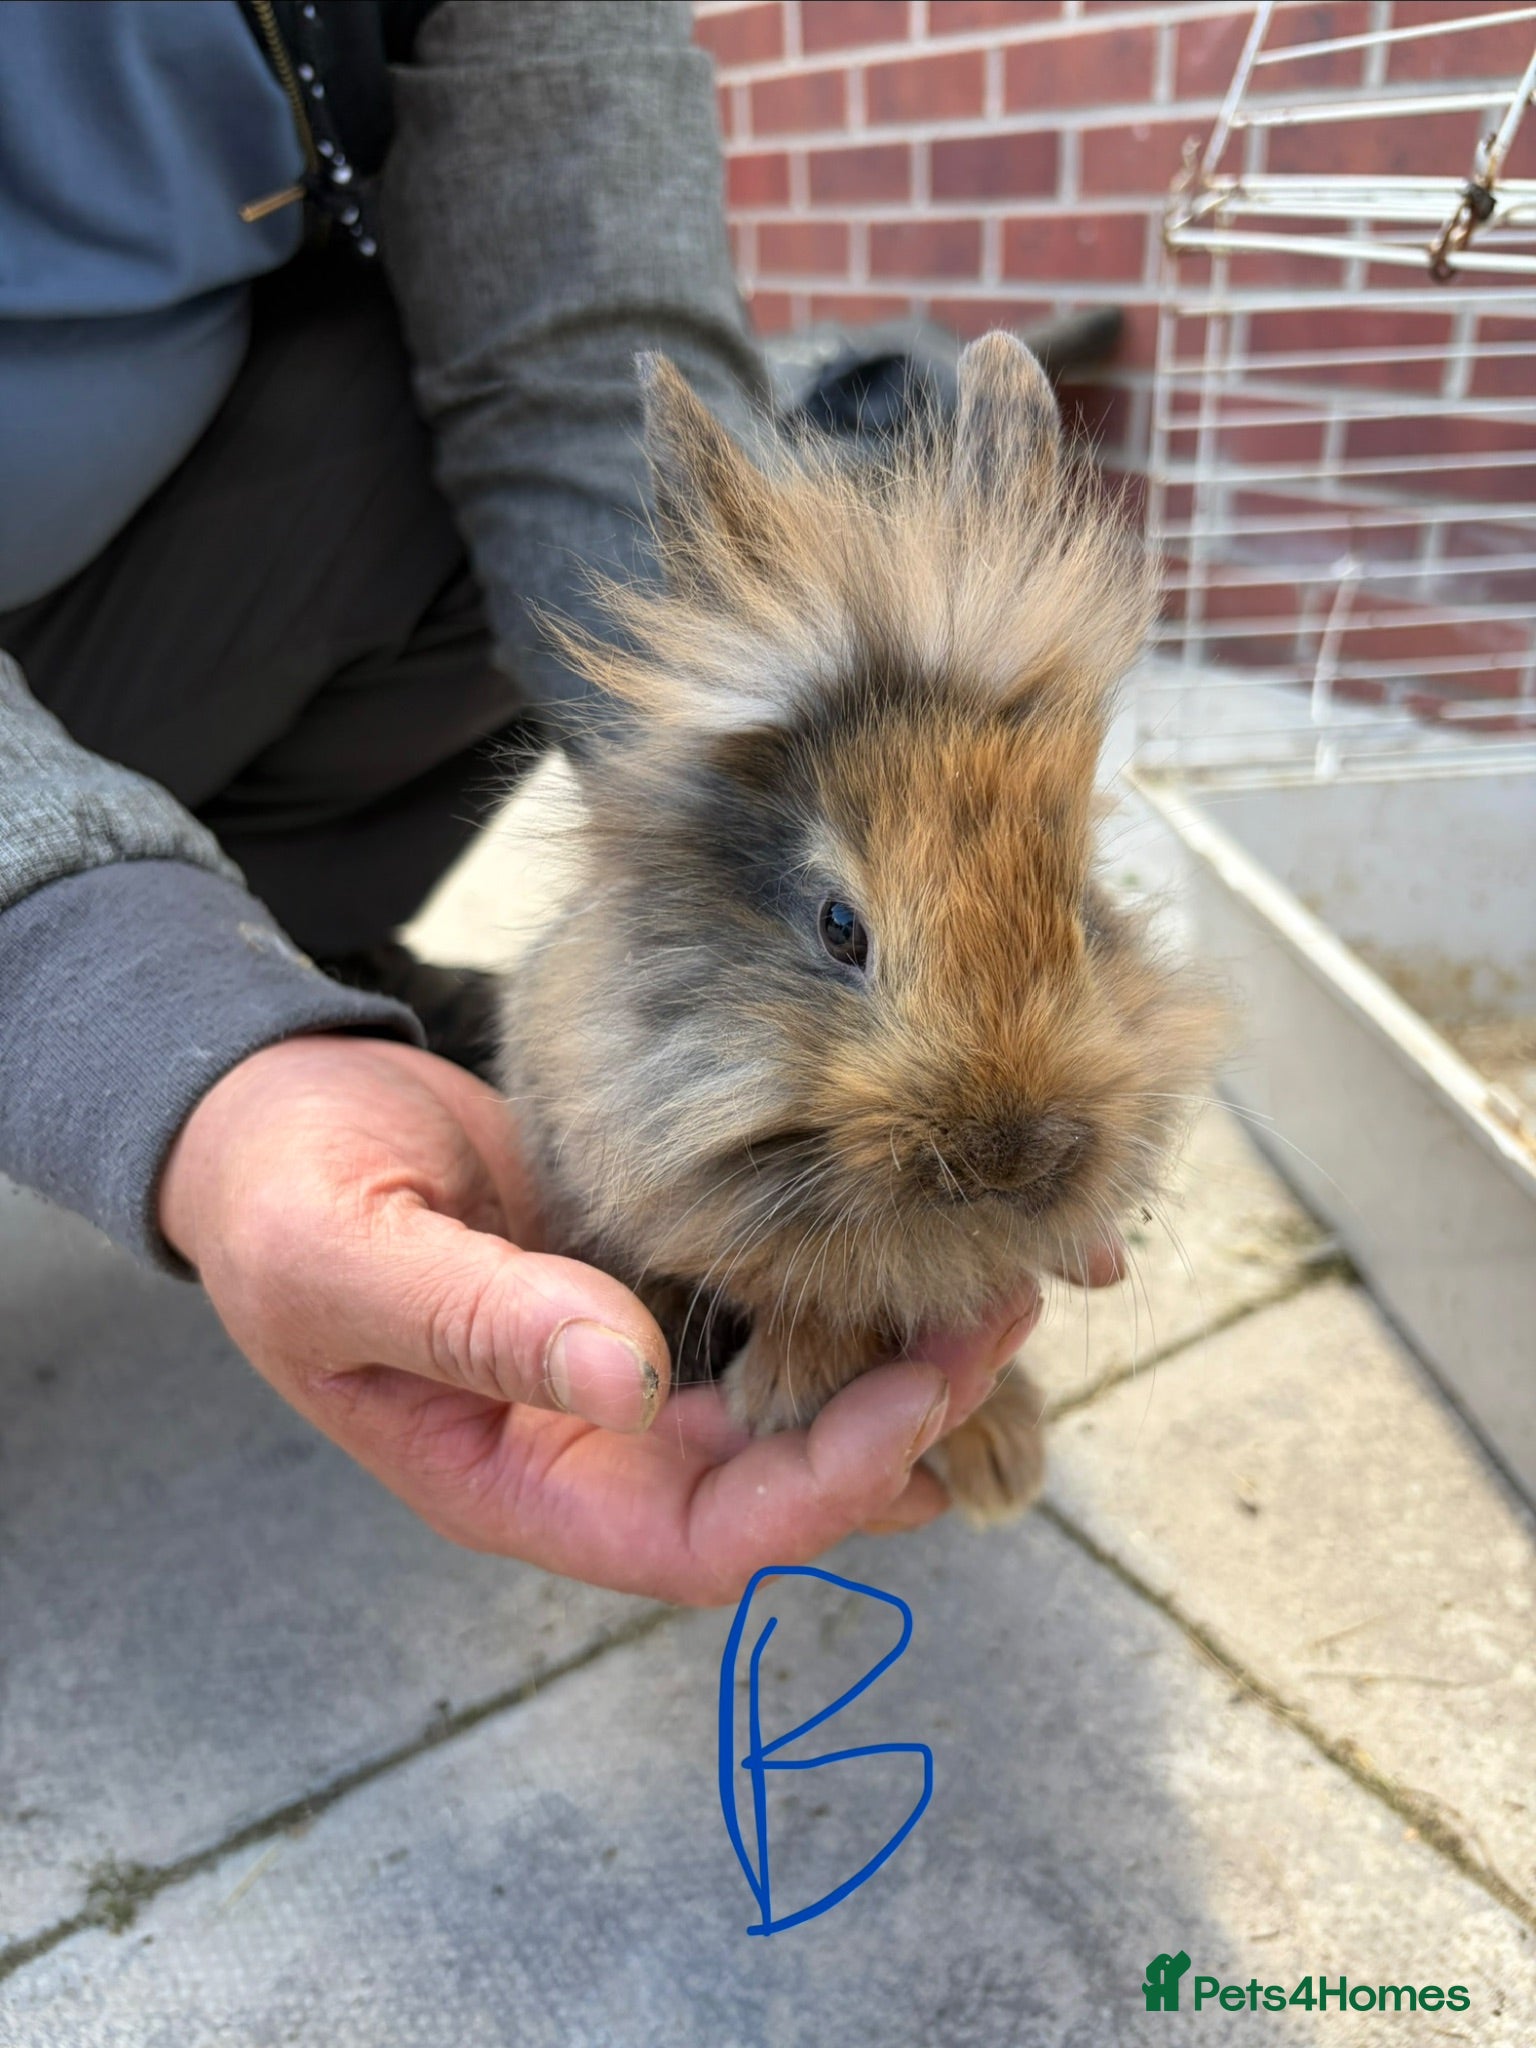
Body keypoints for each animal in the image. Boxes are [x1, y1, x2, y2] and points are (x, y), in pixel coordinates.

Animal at [497, 331, 1223, 1525]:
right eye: (841, 927)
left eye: (1081, 905)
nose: (1008, 1157)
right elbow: (811, 1297)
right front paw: (778, 1398)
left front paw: (983, 1446)